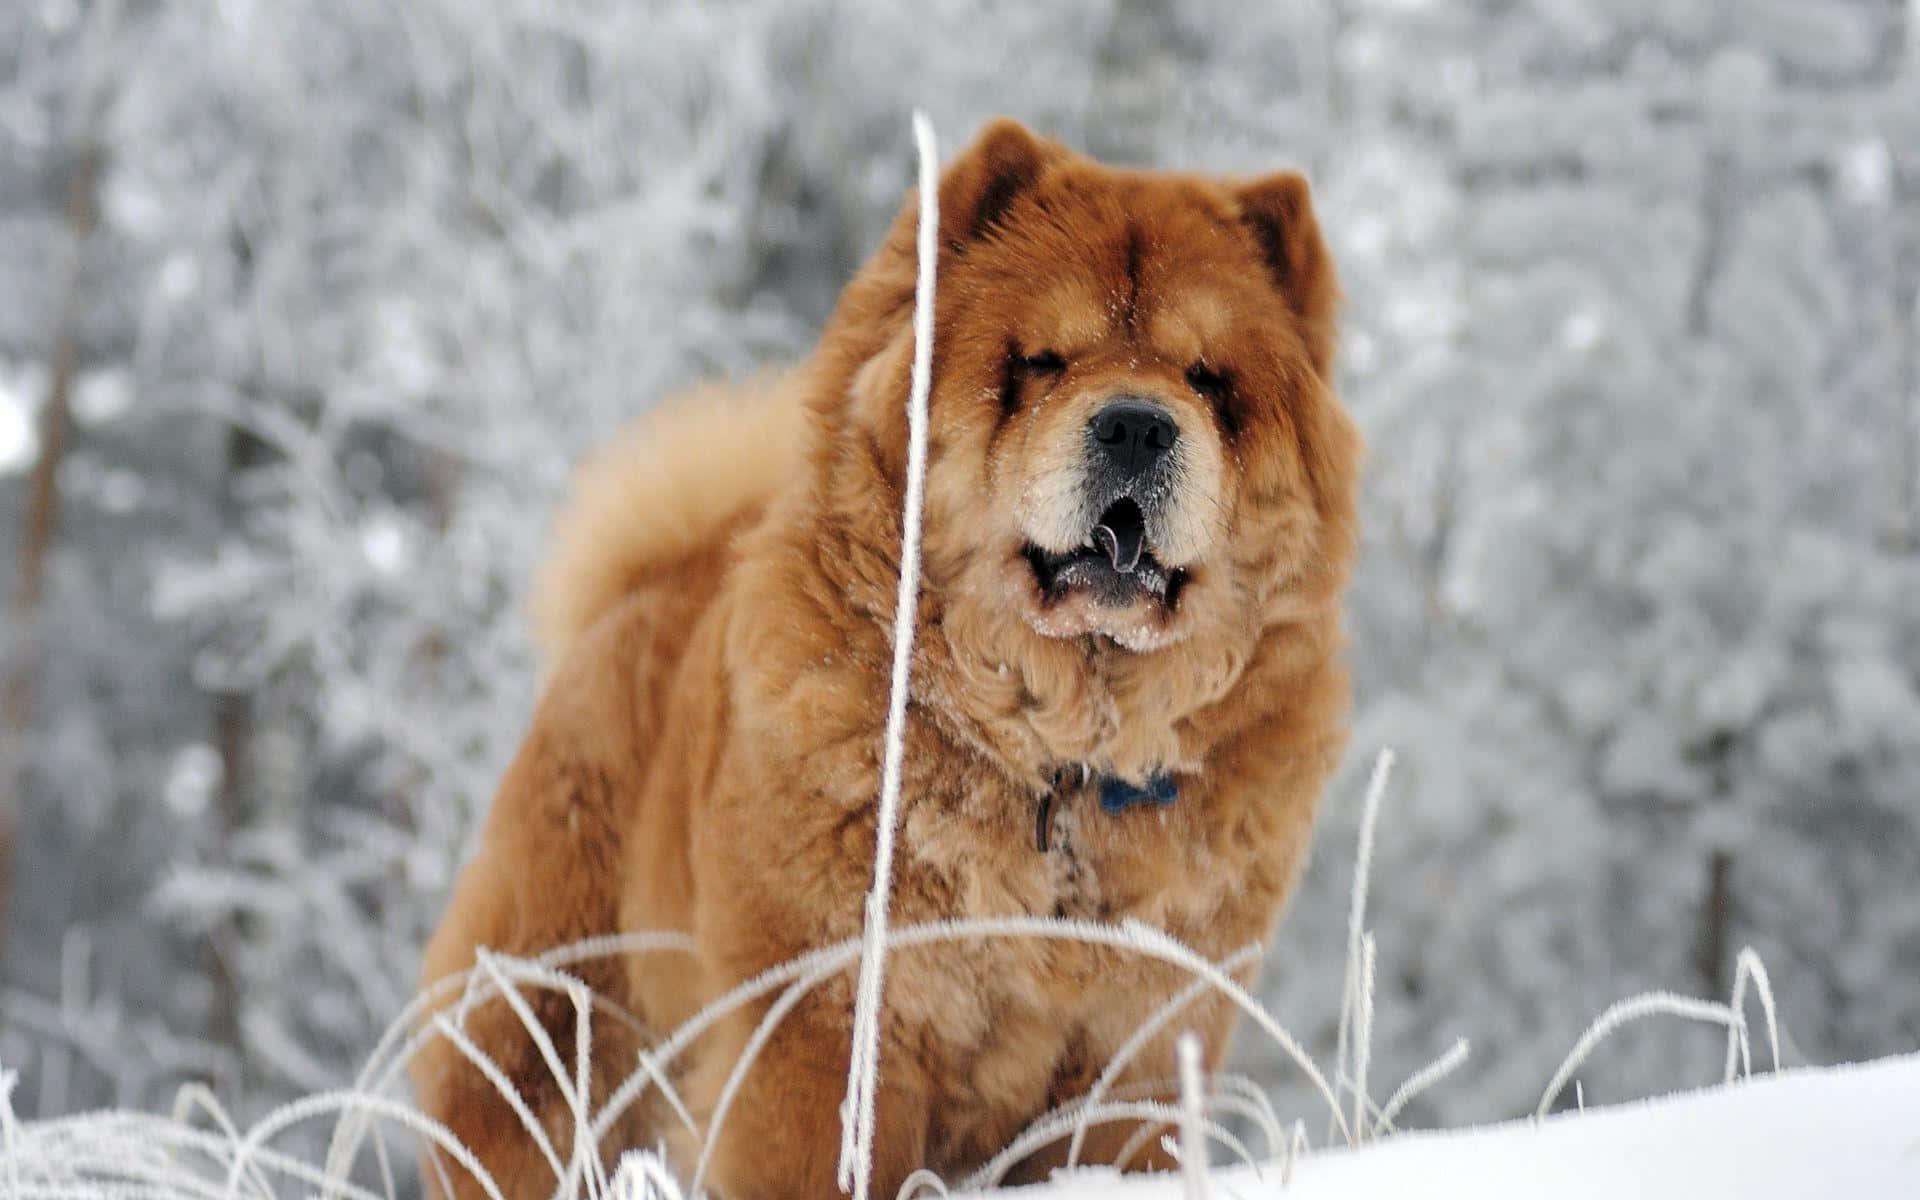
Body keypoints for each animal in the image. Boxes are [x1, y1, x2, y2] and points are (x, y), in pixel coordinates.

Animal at [412, 114, 1359, 1198]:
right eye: (1043, 361)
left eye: (1208, 379)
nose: (1137, 423)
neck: (1058, 766)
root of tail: (640, 589)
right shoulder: (828, 1023)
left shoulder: (1141, 1055)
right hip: (552, 1027)